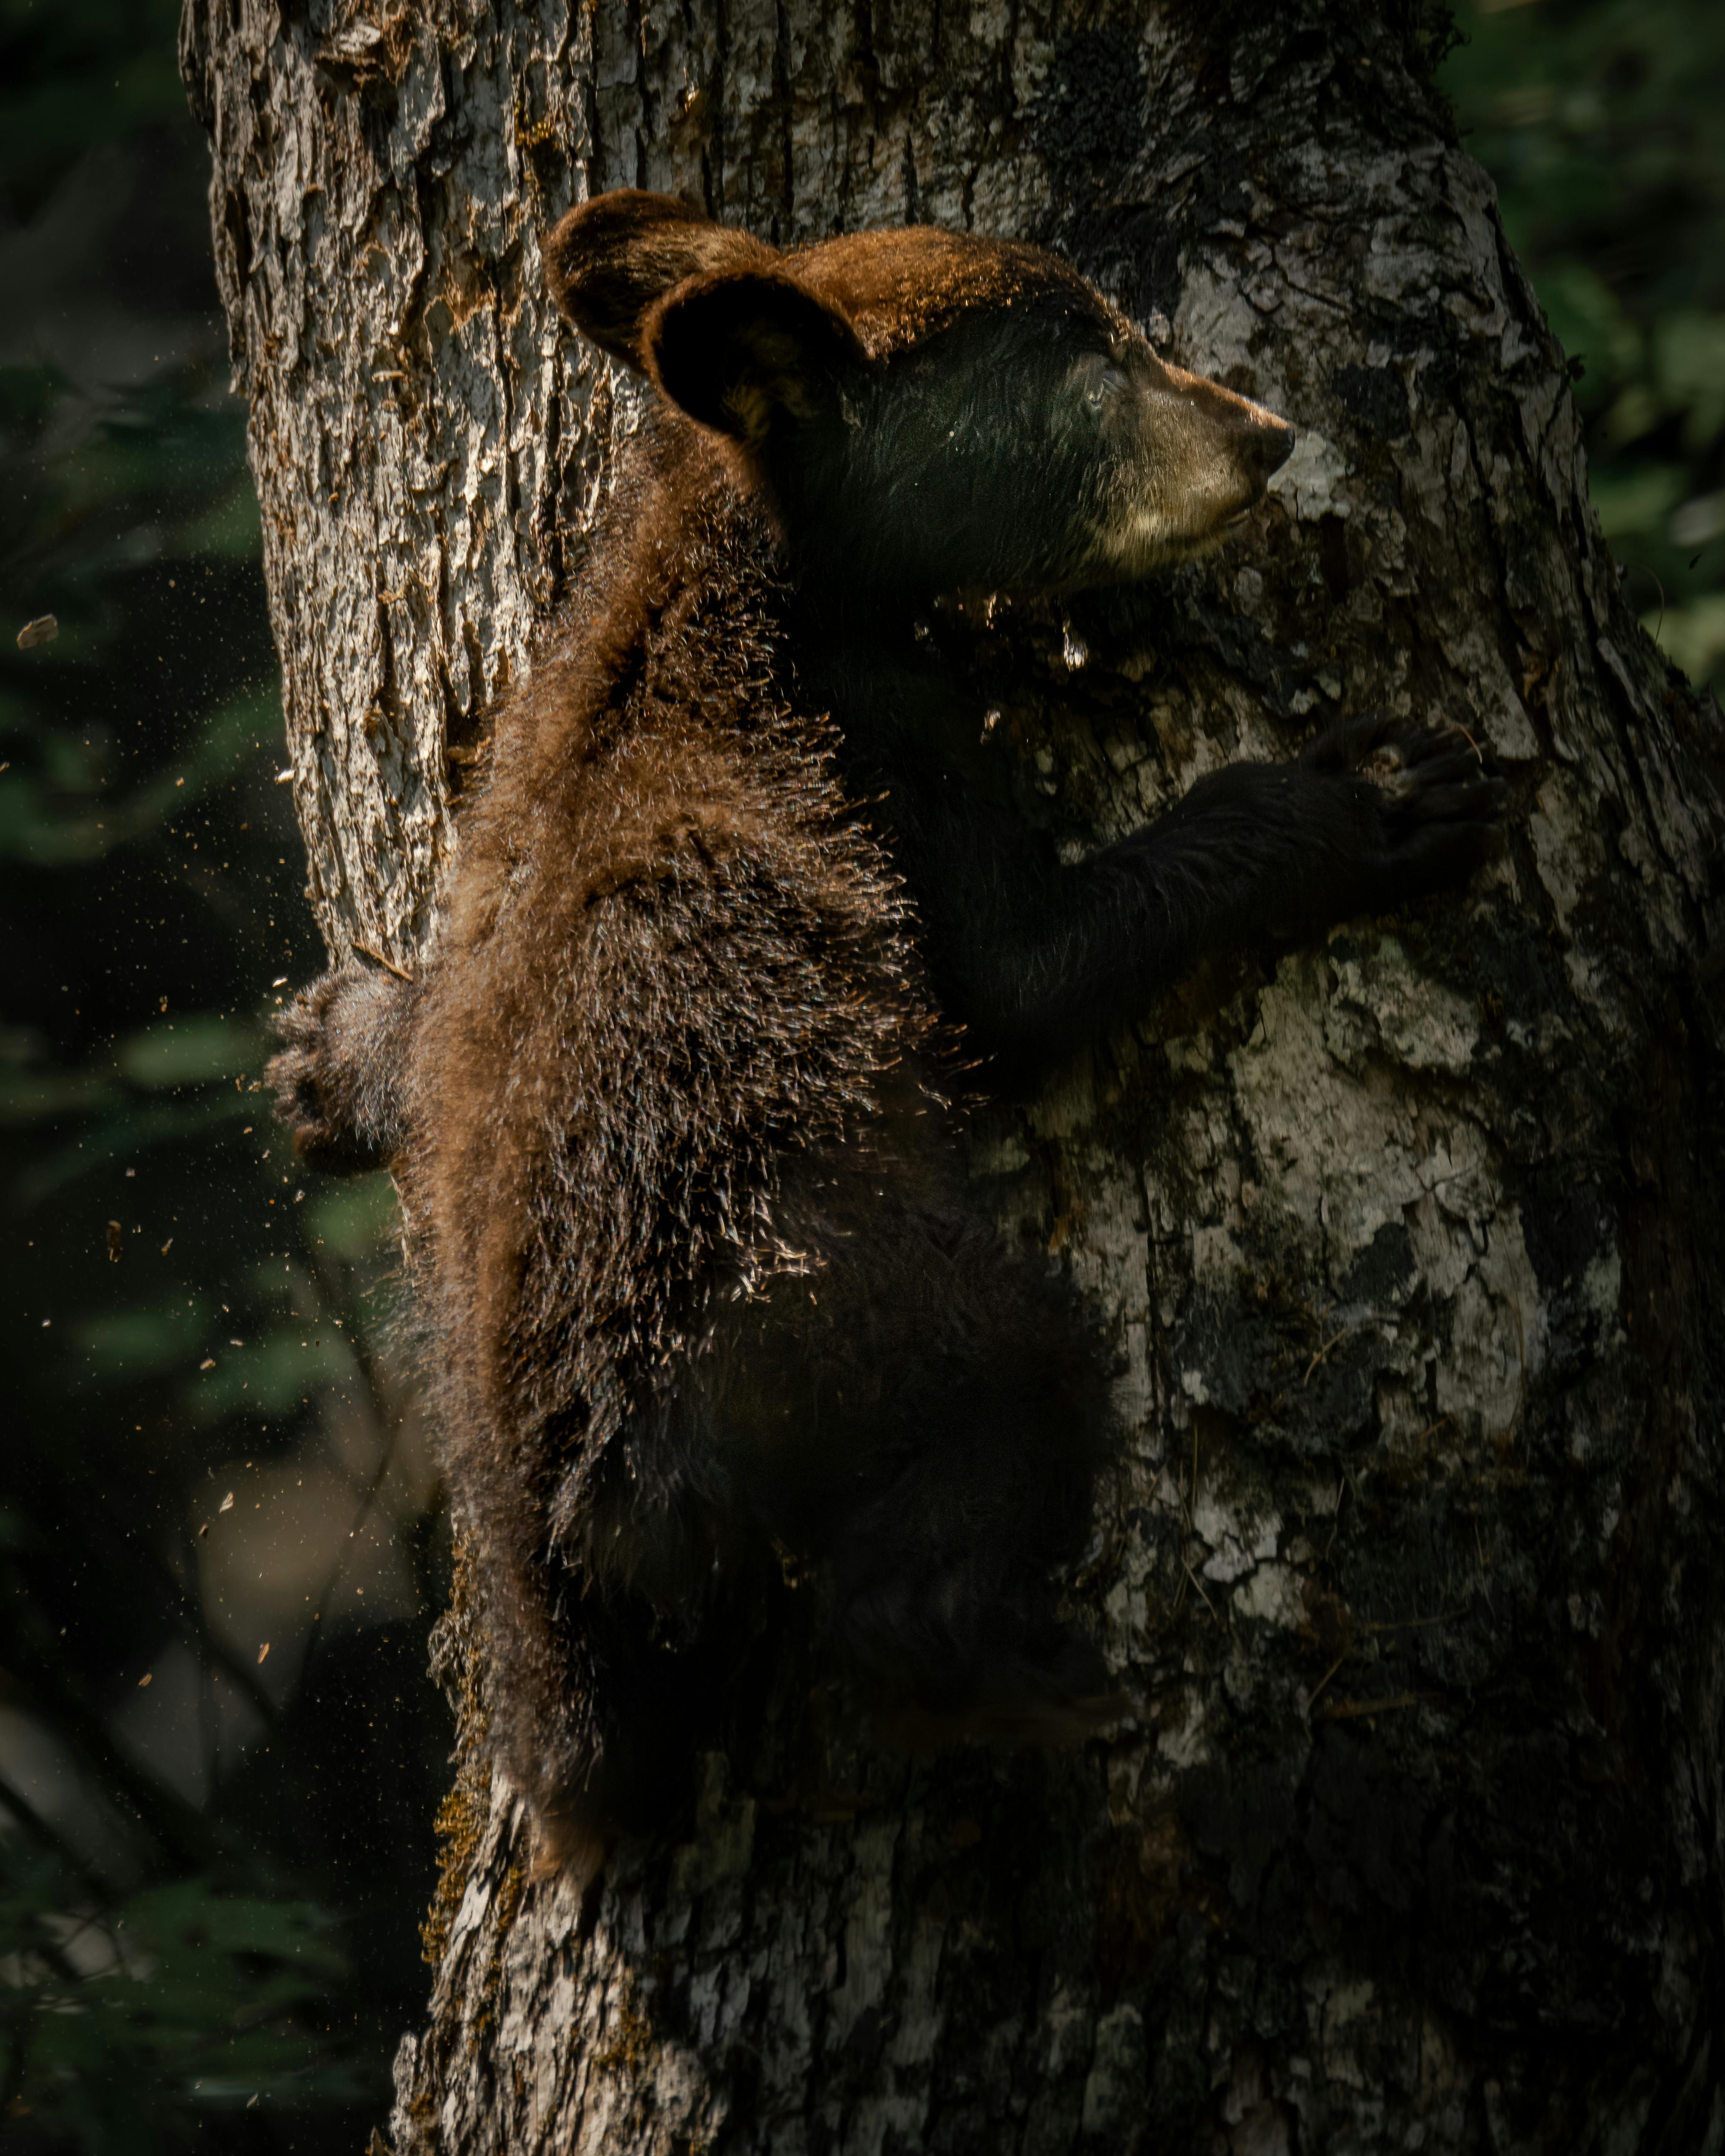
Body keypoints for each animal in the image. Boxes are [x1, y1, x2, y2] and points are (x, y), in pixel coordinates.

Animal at [269, 189, 1504, 1869]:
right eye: (1090, 358)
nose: (1261, 433)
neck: (743, 575)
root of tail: (597, 1474)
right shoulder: (882, 740)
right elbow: (1017, 971)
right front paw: (1373, 795)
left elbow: (438, 1008)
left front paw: (334, 1043)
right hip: (860, 1326)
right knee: (996, 1426)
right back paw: (1026, 1685)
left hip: (520, 1561)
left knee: (572, 1743)